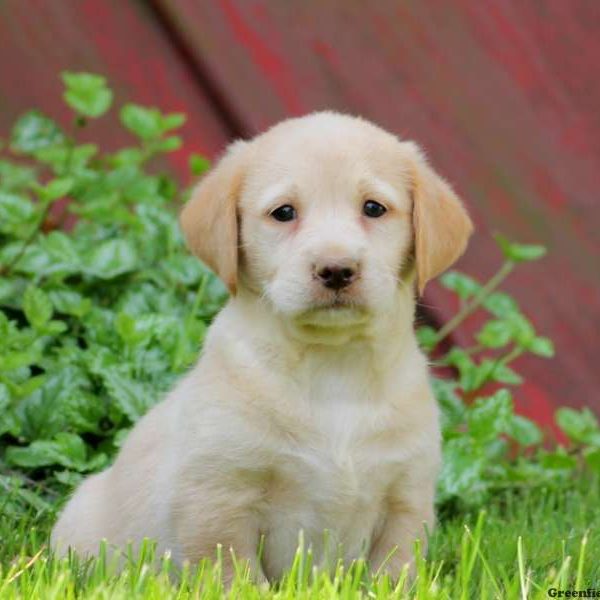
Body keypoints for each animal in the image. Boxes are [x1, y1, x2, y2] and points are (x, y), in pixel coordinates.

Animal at [51, 111, 474, 580]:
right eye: (283, 213)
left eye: (373, 208)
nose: (336, 269)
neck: (334, 367)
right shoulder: (219, 498)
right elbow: (235, 575)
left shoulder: (406, 498)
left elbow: (394, 572)